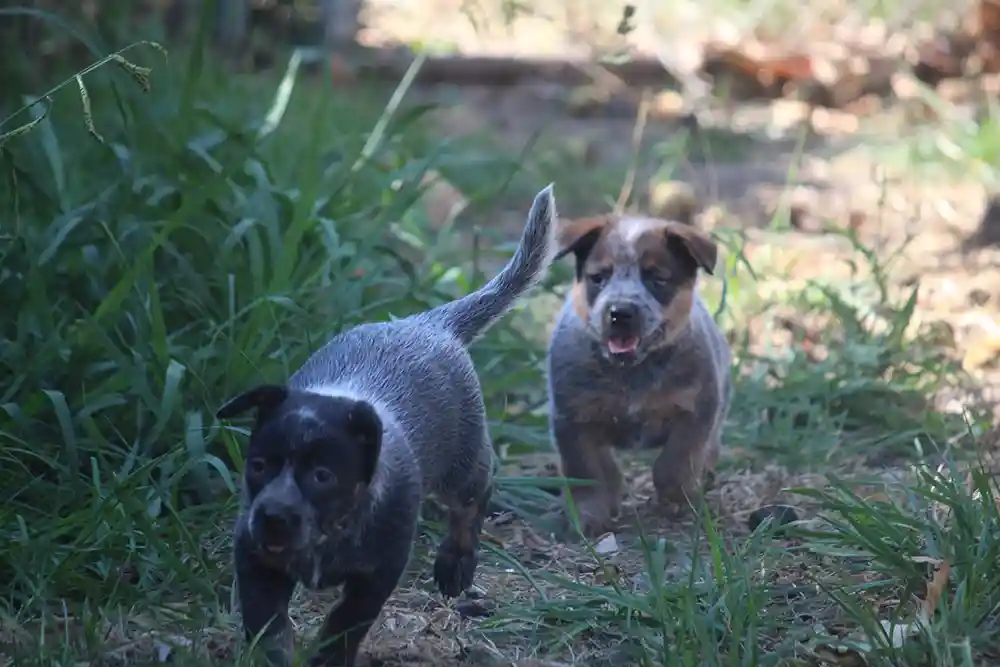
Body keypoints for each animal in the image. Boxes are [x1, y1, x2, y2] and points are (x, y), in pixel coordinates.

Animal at [216, 184, 560, 667]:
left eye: (323, 475)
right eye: (259, 466)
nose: (272, 517)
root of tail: (426, 322)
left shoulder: (379, 570)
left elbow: (345, 624)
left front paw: (328, 658)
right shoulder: (253, 555)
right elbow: (267, 625)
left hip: (462, 461)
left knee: (474, 498)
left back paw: (455, 566)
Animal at [548, 214, 736, 536]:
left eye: (657, 279)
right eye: (598, 277)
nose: (620, 312)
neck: (632, 375)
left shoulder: (697, 409)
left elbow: (676, 461)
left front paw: (677, 499)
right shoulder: (572, 419)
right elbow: (587, 470)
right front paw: (590, 513)